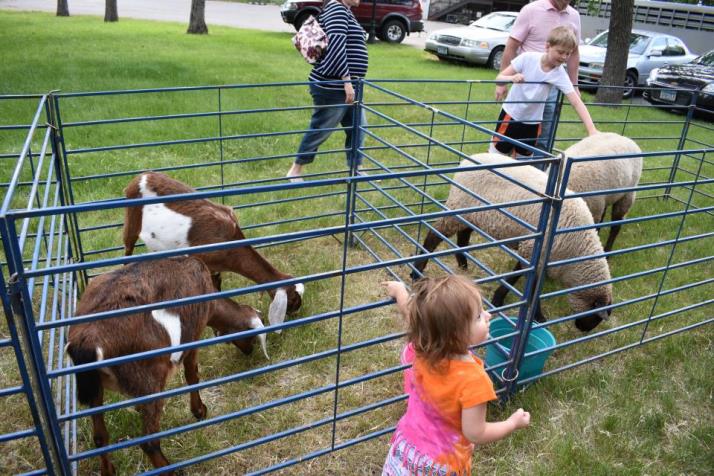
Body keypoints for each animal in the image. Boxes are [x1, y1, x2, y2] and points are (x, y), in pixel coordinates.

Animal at [64, 256, 262, 476]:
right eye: (250, 335)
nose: (249, 351)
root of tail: (87, 342)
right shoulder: (193, 336)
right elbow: (192, 375)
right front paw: (200, 411)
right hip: (149, 379)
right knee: (148, 441)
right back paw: (171, 470)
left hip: (96, 388)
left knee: (100, 437)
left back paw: (109, 470)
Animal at [124, 171, 302, 330]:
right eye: (293, 299)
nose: (296, 312)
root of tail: (141, 176)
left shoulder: (215, 268)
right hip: (131, 222)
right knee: (127, 250)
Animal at [412, 152, 612, 330]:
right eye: (595, 317)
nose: (582, 329)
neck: (577, 251)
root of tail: (468, 160)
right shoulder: (534, 251)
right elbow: (529, 286)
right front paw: (537, 316)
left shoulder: (532, 250)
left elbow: (516, 275)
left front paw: (499, 298)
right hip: (457, 207)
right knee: (434, 236)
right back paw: (417, 270)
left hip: (471, 214)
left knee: (462, 237)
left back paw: (463, 265)